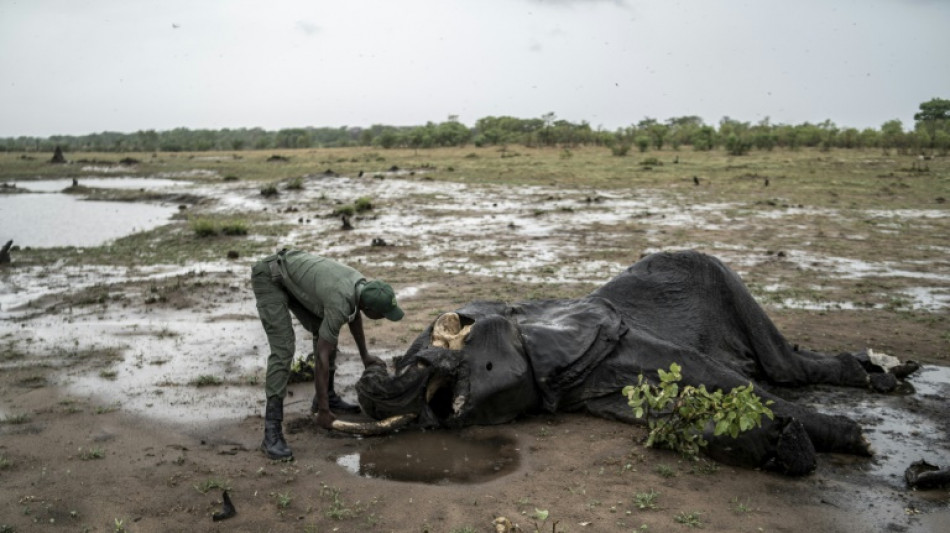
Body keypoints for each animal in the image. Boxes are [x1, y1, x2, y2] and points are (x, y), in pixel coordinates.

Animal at [337, 250, 918, 476]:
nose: (368, 381)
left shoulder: (609, 342)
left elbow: (728, 383)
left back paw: (887, 376)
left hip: (727, 284)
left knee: (783, 369)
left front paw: (857, 440)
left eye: (443, 335)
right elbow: (663, 415)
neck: (523, 326)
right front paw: (780, 445)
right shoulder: (595, 388)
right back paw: (886, 373)